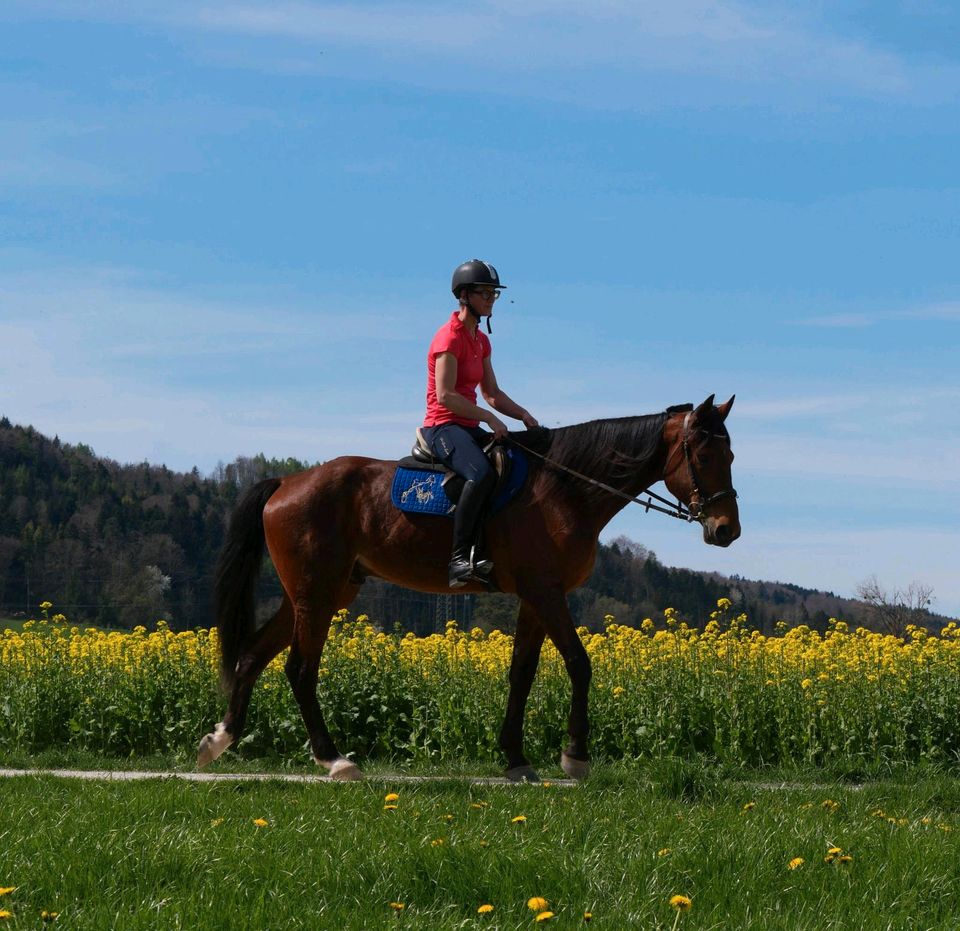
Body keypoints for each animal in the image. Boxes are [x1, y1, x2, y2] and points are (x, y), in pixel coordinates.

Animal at [197, 396, 744, 784]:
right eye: (704, 453)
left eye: (731, 453)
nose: (726, 530)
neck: (565, 488)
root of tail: (287, 482)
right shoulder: (547, 593)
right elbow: (579, 663)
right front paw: (575, 756)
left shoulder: (535, 598)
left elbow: (522, 673)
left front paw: (516, 758)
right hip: (316, 594)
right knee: (300, 669)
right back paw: (334, 760)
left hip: (317, 594)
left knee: (253, 655)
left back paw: (220, 739)